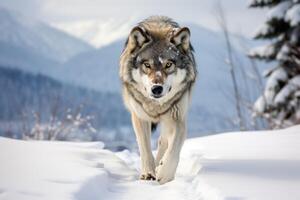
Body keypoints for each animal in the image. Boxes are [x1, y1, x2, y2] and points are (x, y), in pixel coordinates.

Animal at [119, 16, 197, 184]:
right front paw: (148, 173)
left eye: (168, 64)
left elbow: (173, 150)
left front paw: (164, 173)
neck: (156, 106)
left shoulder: (178, 119)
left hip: (168, 121)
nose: (156, 89)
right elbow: (145, 147)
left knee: (163, 142)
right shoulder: (139, 116)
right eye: (147, 65)